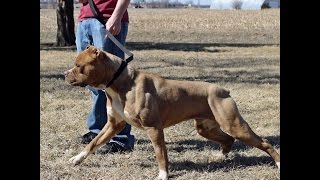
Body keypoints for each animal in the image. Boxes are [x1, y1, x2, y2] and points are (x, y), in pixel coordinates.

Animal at [63, 45, 278, 180]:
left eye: (78, 66)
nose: (65, 74)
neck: (118, 82)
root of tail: (224, 90)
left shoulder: (153, 128)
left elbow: (160, 153)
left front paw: (163, 174)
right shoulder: (114, 124)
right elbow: (94, 142)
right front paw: (77, 159)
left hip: (233, 124)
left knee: (264, 142)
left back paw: (278, 163)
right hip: (206, 128)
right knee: (228, 139)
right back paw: (222, 156)